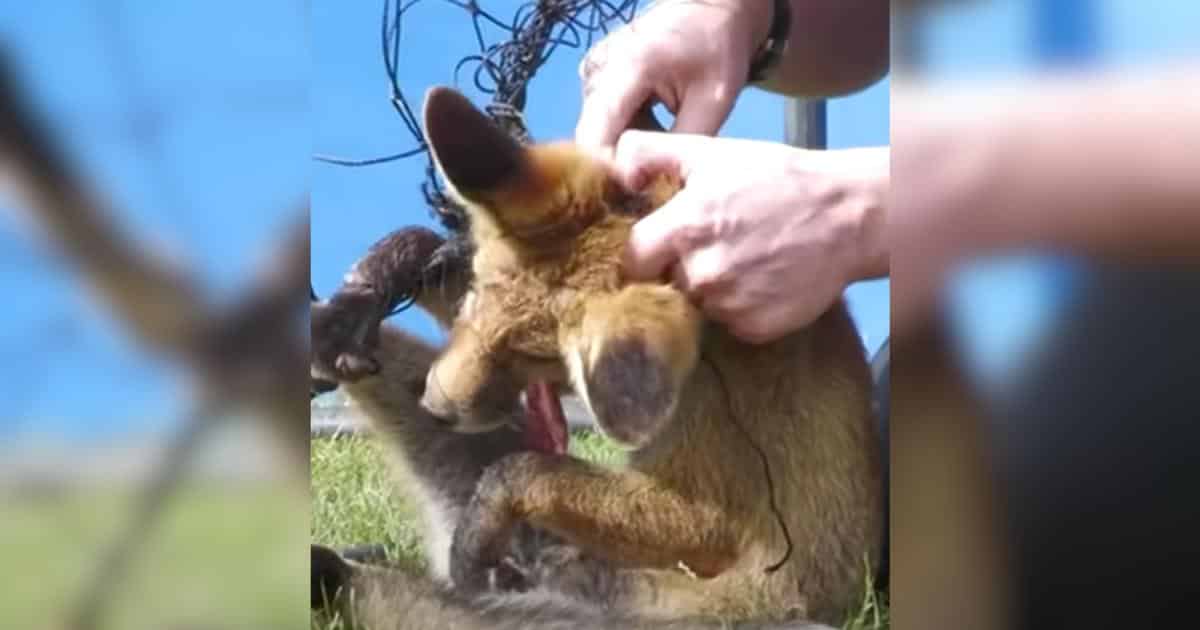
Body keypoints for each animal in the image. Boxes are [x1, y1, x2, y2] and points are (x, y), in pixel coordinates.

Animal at [310, 86, 883, 628]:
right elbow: (421, 241)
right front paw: (368, 286)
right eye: (473, 302)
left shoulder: (718, 510)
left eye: (538, 358)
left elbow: (524, 471)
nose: (435, 406)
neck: (710, 361)